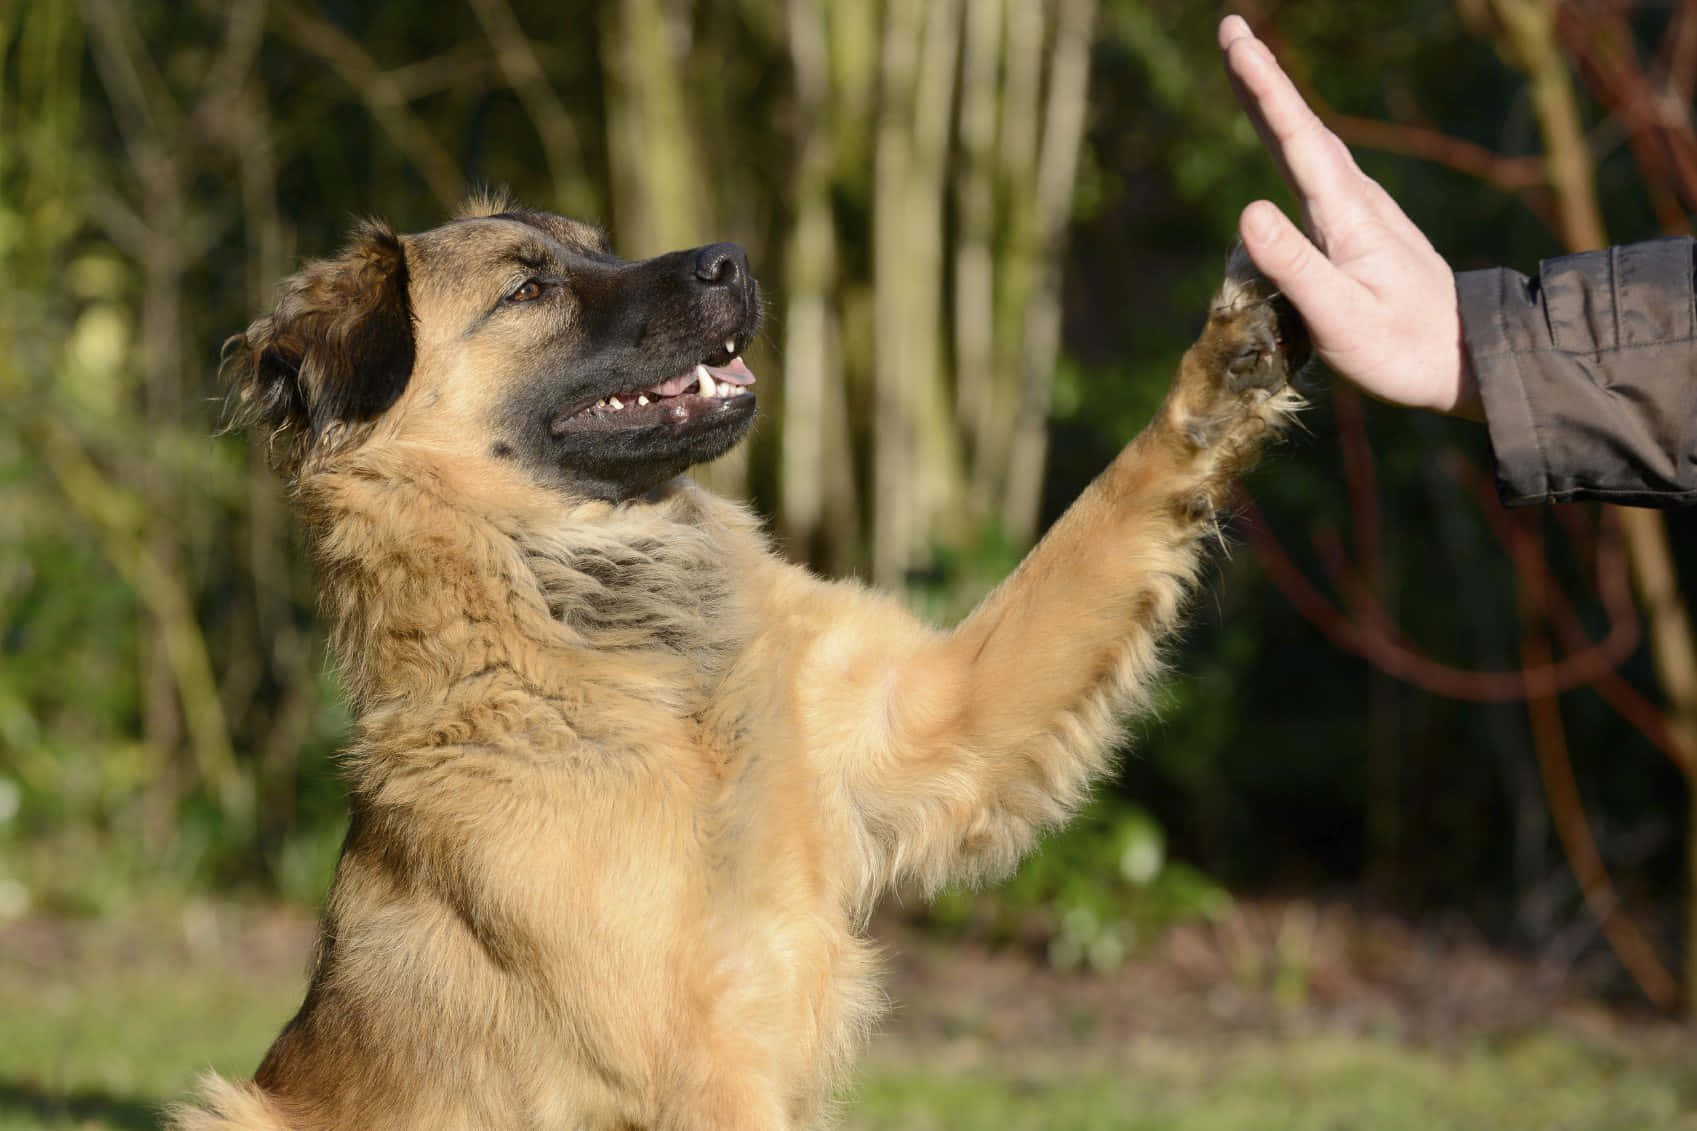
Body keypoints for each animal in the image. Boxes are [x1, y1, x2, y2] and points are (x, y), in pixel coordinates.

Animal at [172, 189, 1303, 1120]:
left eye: (598, 244)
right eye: (530, 287)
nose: (733, 259)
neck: (640, 664)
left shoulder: (930, 714)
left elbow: (1103, 518)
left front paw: (1220, 378)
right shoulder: (699, 1051)